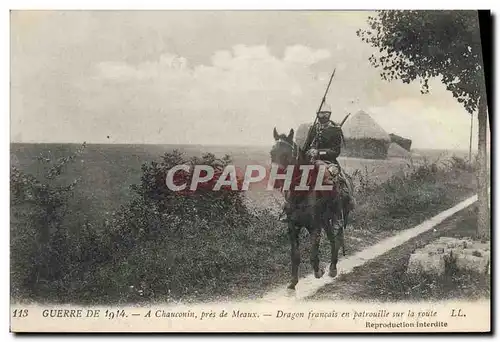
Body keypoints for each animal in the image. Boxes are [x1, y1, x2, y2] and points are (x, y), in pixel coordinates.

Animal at [270, 127, 352, 290]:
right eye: (272, 153)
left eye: (286, 154)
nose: (276, 181)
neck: (301, 193)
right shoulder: (293, 226)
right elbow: (295, 255)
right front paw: (293, 283)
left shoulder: (315, 226)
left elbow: (313, 254)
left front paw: (318, 271)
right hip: (325, 221)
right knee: (332, 239)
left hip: (337, 218)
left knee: (338, 238)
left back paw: (333, 268)